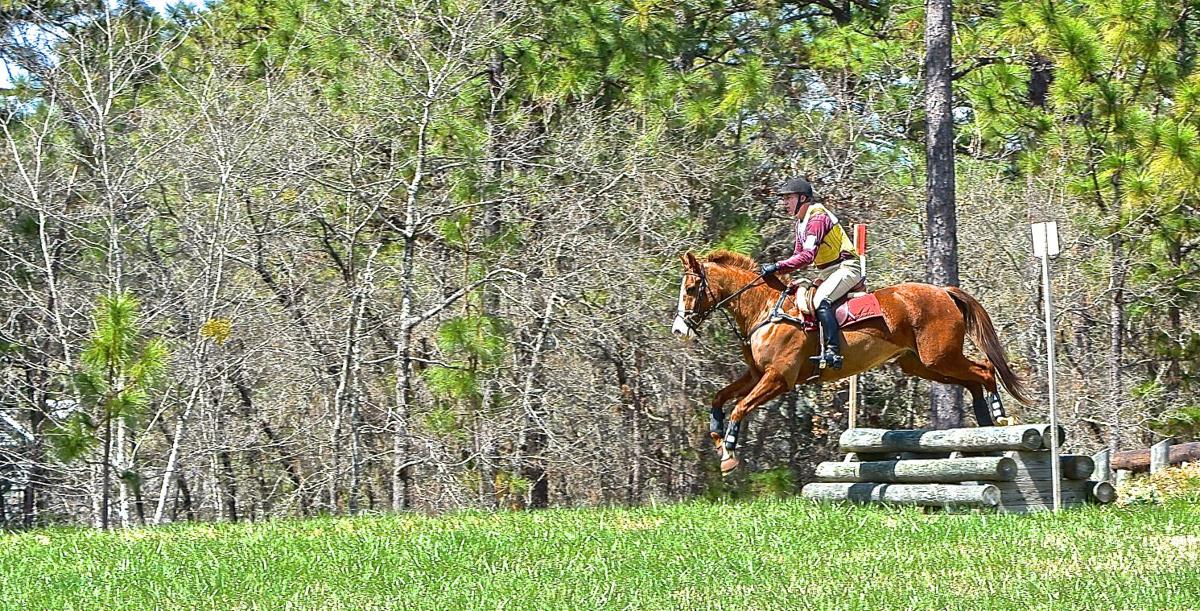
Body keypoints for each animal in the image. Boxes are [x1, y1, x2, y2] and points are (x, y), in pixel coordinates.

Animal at [671, 250, 1032, 473]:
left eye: (691, 288)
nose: (678, 329)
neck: (765, 310)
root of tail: (943, 291)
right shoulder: (756, 373)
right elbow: (719, 398)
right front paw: (718, 437)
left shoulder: (778, 378)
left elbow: (740, 407)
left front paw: (730, 452)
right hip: (922, 364)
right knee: (974, 379)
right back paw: (985, 424)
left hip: (939, 356)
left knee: (984, 370)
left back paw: (999, 418)